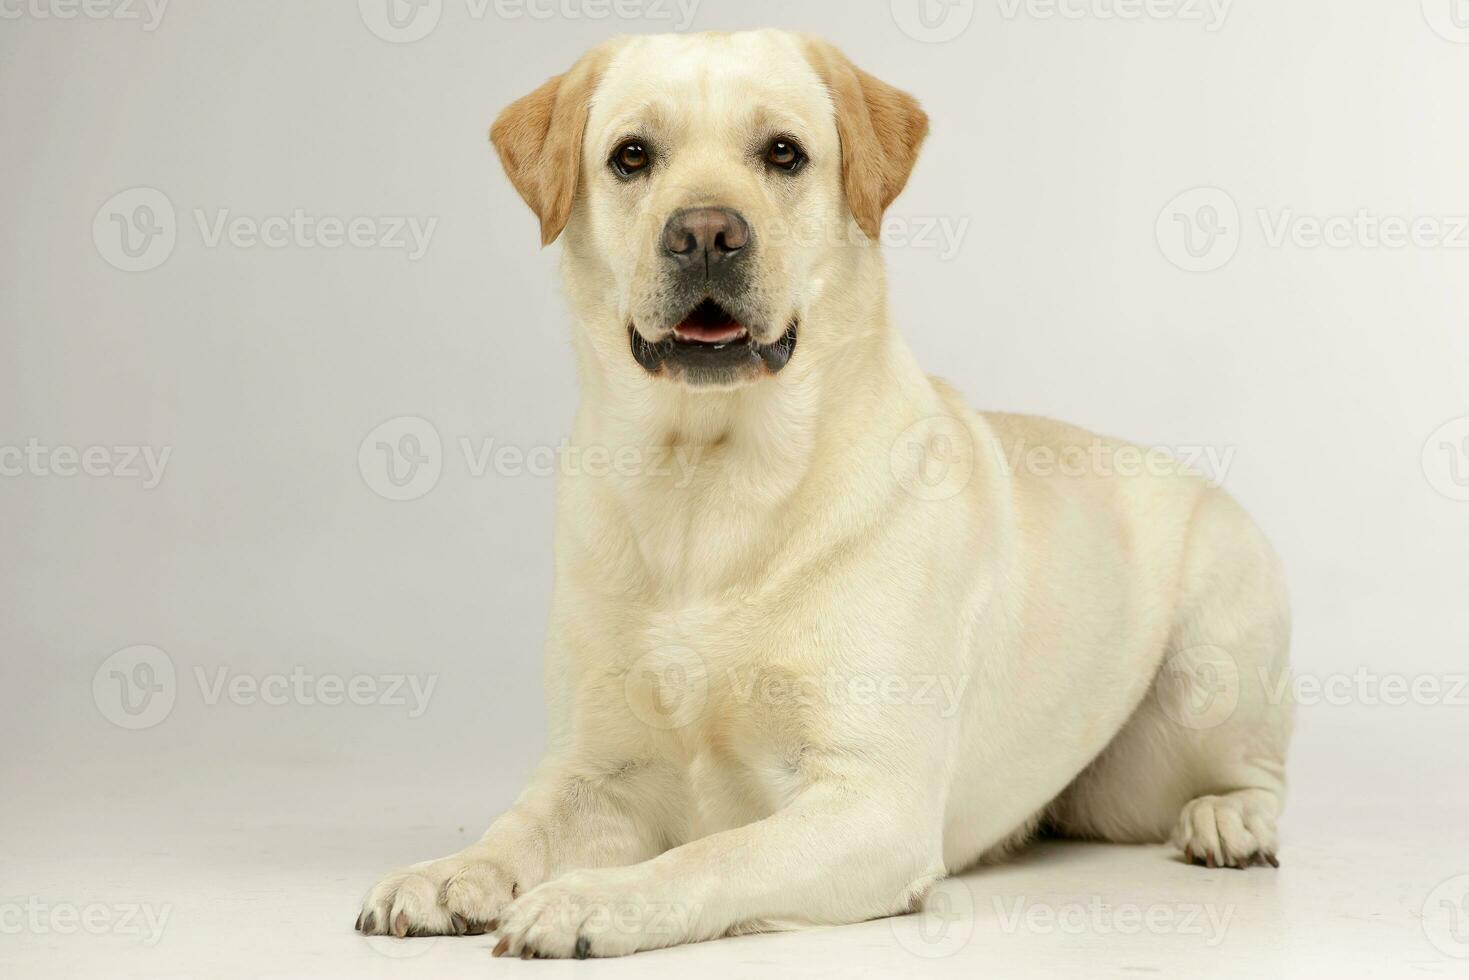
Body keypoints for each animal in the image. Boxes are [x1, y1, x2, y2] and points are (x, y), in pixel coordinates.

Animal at [358, 28, 1298, 957]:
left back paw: (1228, 822)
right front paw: (450, 873)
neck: (708, 482)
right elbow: (519, 826)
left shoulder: (873, 803)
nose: (706, 232)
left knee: (1254, 772)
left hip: (1204, 677)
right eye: (631, 156)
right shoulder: (596, 767)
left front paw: (590, 899)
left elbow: (710, 854)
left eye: (783, 152)